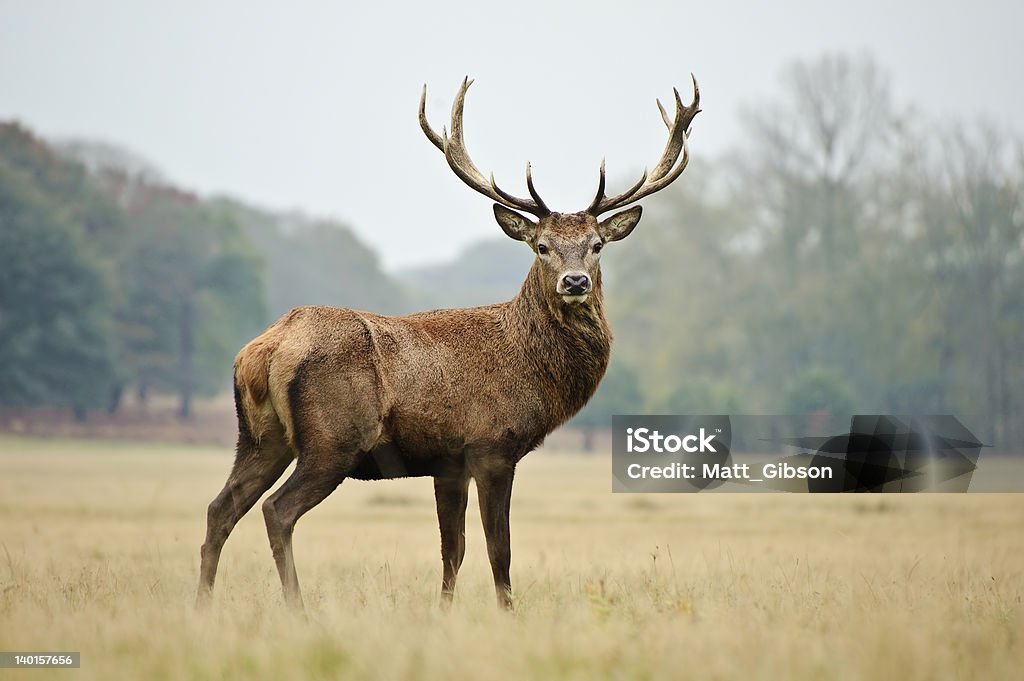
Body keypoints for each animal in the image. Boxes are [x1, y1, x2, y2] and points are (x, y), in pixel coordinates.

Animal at [195, 75, 700, 610]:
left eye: (597, 245)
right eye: (541, 246)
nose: (576, 281)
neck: (533, 371)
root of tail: (265, 349)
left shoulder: (448, 462)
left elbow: (452, 549)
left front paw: (443, 612)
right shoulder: (492, 445)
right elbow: (499, 548)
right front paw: (507, 612)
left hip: (259, 437)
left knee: (220, 507)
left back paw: (202, 605)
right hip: (333, 439)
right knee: (277, 510)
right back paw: (297, 609)